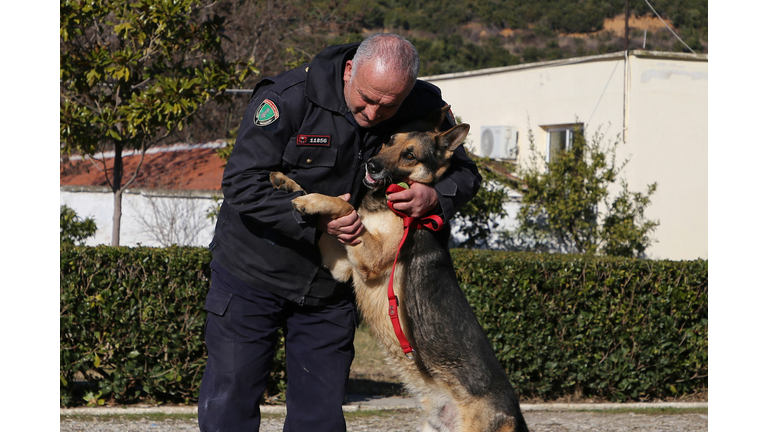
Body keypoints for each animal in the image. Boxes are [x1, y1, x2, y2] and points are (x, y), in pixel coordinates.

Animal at [270, 105, 528, 432]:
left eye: (410, 155)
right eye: (390, 140)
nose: (371, 164)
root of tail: (516, 417)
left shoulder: (369, 259)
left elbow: (345, 207)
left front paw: (313, 200)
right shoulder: (340, 262)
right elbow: (333, 212)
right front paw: (290, 185)